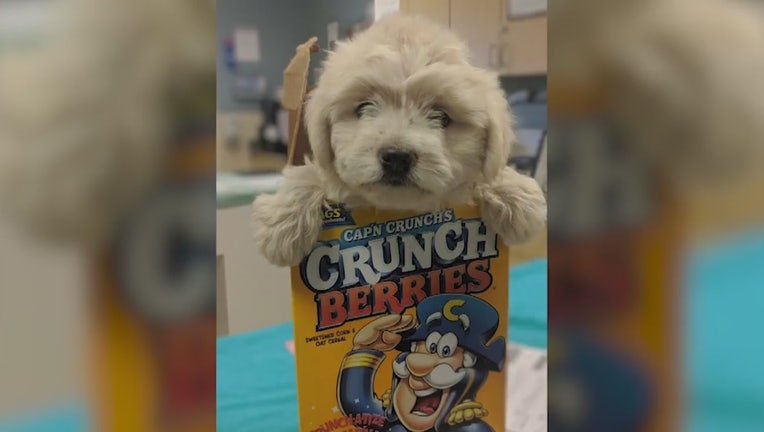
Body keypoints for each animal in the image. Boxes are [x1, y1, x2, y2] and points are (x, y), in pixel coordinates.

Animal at [254, 13, 548, 266]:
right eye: (363, 107)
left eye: (441, 116)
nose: (396, 157)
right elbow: (311, 173)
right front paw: (281, 223)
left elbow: (484, 175)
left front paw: (517, 196)